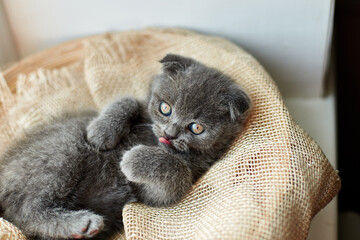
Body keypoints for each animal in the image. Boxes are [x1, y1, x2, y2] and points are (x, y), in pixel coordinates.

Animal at [0, 54, 250, 240]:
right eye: (165, 108)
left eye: (196, 128)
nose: (169, 134)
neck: (153, 139)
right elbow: (128, 101)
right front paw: (100, 132)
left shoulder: (162, 190)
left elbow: (176, 171)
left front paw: (132, 159)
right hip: (64, 149)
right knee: (28, 209)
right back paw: (82, 222)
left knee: (27, 214)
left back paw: (83, 225)